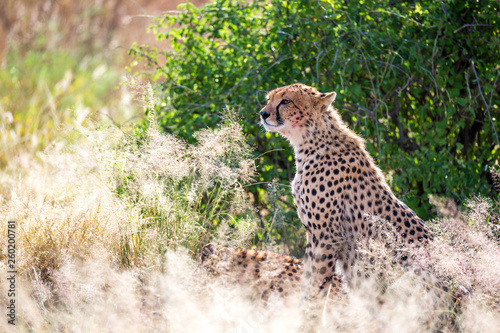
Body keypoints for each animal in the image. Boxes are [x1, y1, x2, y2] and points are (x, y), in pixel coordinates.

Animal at [258, 83, 434, 290]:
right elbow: (307, 275)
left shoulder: (328, 236)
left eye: (286, 101)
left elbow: (317, 280)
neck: (310, 142)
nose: (263, 113)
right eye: (269, 99)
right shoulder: (313, 235)